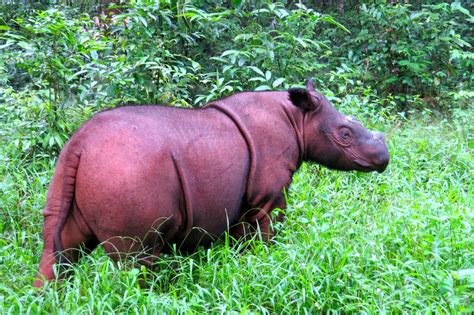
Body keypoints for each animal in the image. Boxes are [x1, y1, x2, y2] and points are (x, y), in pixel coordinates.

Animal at [33, 80, 388, 288]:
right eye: (345, 134)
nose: (384, 158)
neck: (297, 119)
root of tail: (79, 144)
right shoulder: (269, 195)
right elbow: (266, 233)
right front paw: (265, 264)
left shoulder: (243, 199)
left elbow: (239, 237)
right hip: (126, 171)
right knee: (137, 259)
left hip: (72, 170)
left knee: (59, 247)